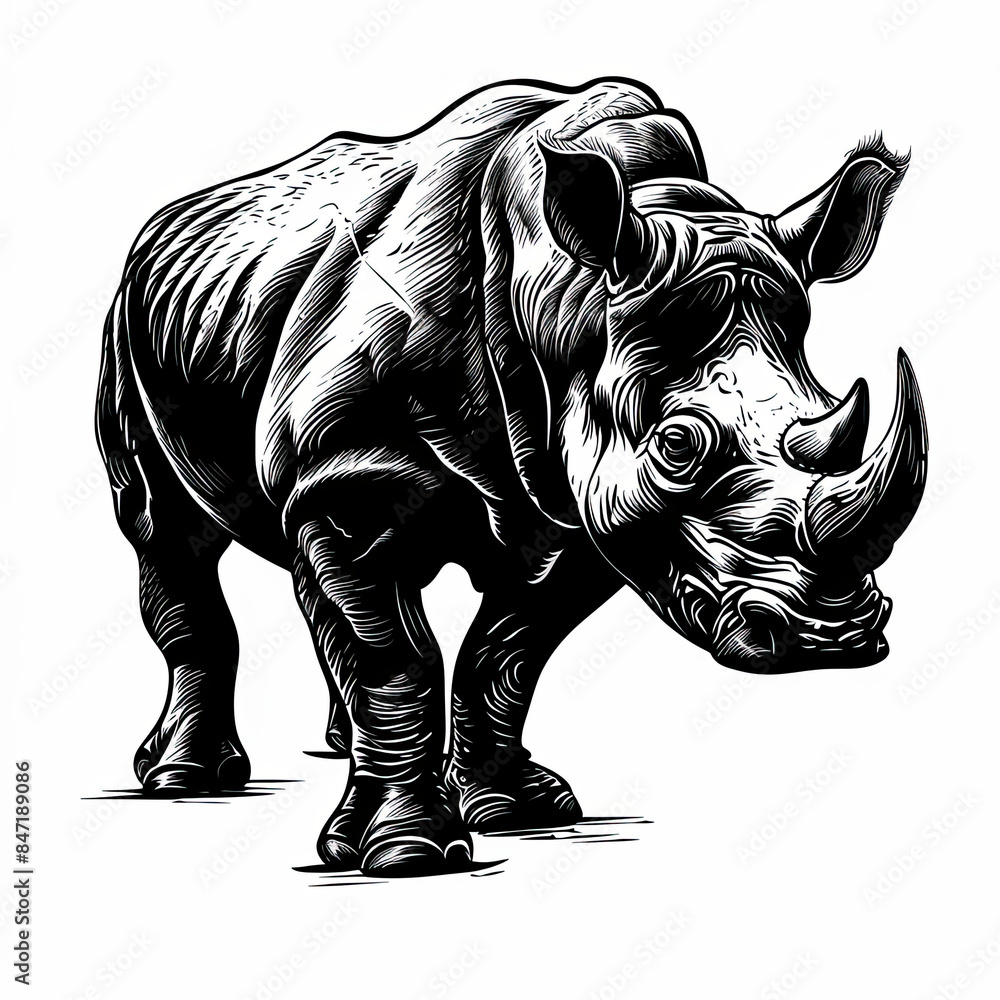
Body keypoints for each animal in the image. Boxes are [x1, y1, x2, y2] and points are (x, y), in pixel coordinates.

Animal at [96, 77, 927, 876]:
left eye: (828, 406)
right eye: (676, 447)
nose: (836, 636)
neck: (564, 300)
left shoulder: (580, 514)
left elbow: (507, 652)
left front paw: (516, 810)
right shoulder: (346, 483)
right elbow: (395, 658)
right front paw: (406, 856)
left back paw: (330, 744)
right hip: (125, 325)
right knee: (166, 533)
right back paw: (185, 780)